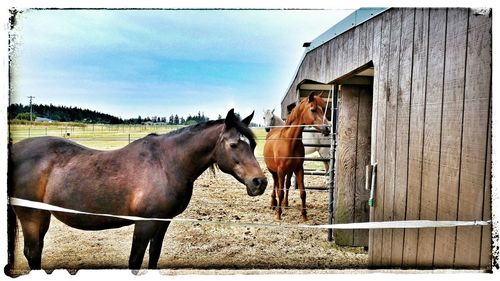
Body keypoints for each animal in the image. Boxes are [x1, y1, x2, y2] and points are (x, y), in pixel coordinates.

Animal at [6, 109, 266, 272]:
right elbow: (135, 260)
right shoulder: (145, 223)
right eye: (233, 144)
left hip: (41, 216)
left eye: (252, 144)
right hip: (31, 216)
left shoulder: (162, 222)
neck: (166, 164)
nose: (259, 182)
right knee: (32, 252)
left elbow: (153, 257)